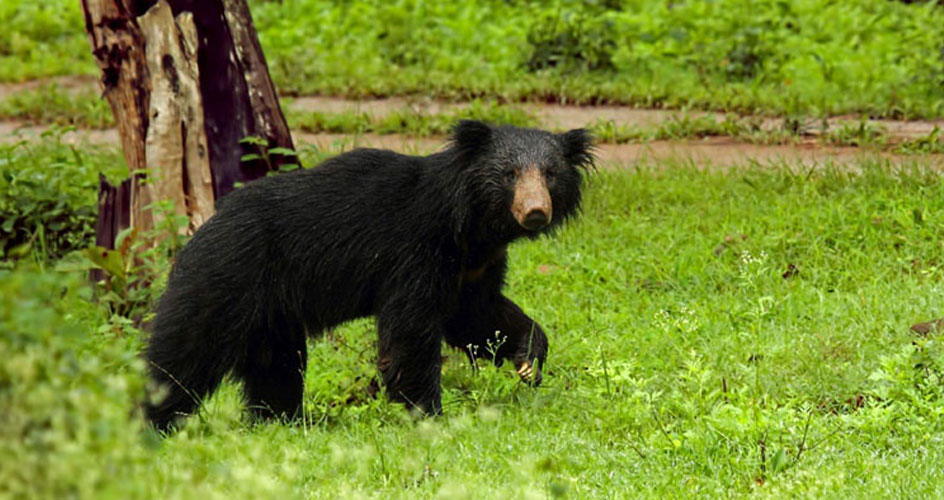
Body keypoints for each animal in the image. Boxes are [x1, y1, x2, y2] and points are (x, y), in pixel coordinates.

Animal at [145, 118, 592, 430]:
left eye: (550, 174)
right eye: (509, 174)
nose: (535, 212)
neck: (471, 226)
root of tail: (199, 231)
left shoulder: (473, 265)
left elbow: (475, 315)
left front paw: (528, 361)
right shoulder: (416, 252)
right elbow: (411, 332)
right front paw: (429, 414)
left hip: (271, 315)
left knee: (276, 367)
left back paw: (283, 420)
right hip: (223, 283)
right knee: (180, 358)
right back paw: (151, 421)